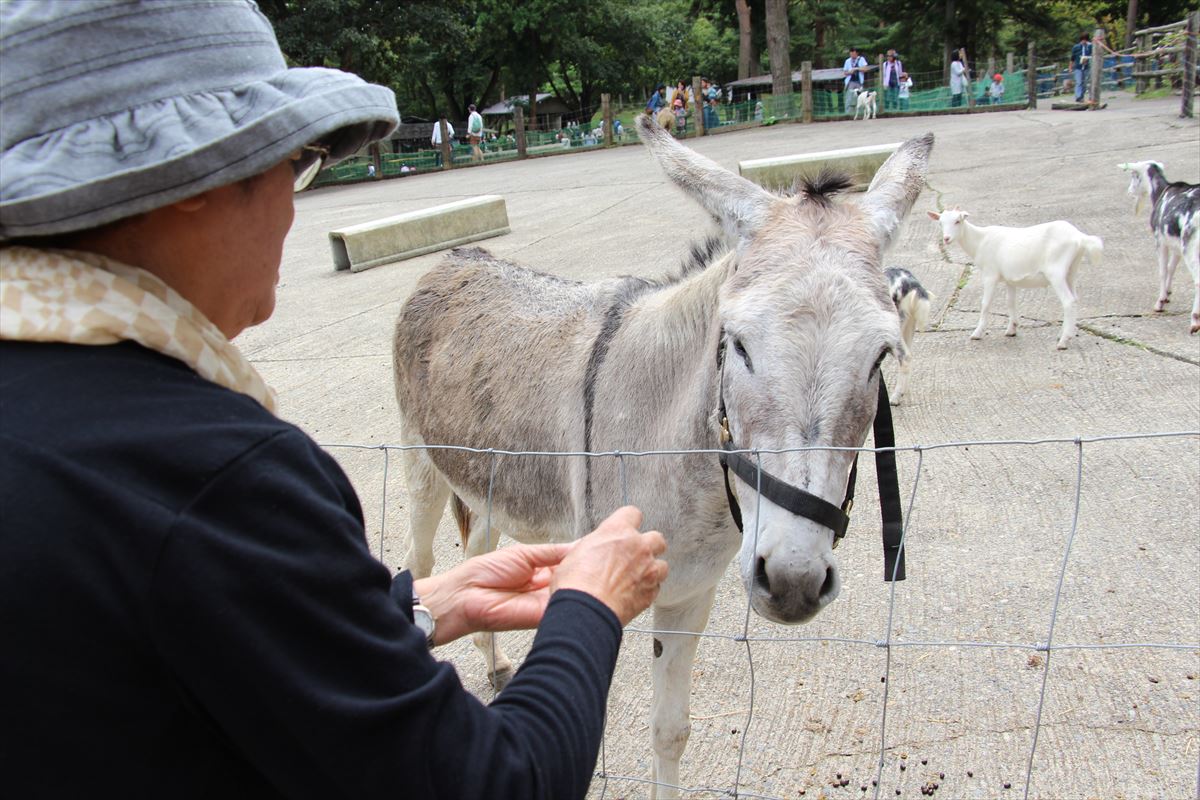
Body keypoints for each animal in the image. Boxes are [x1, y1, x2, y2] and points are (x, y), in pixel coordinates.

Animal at [393, 115, 933, 796]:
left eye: (881, 356)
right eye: (738, 344)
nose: (794, 580)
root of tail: (455, 259)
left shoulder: (689, 596)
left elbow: (671, 731)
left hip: (489, 481)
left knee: (478, 555)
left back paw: (494, 663)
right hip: (420, 462)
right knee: (423, 560)